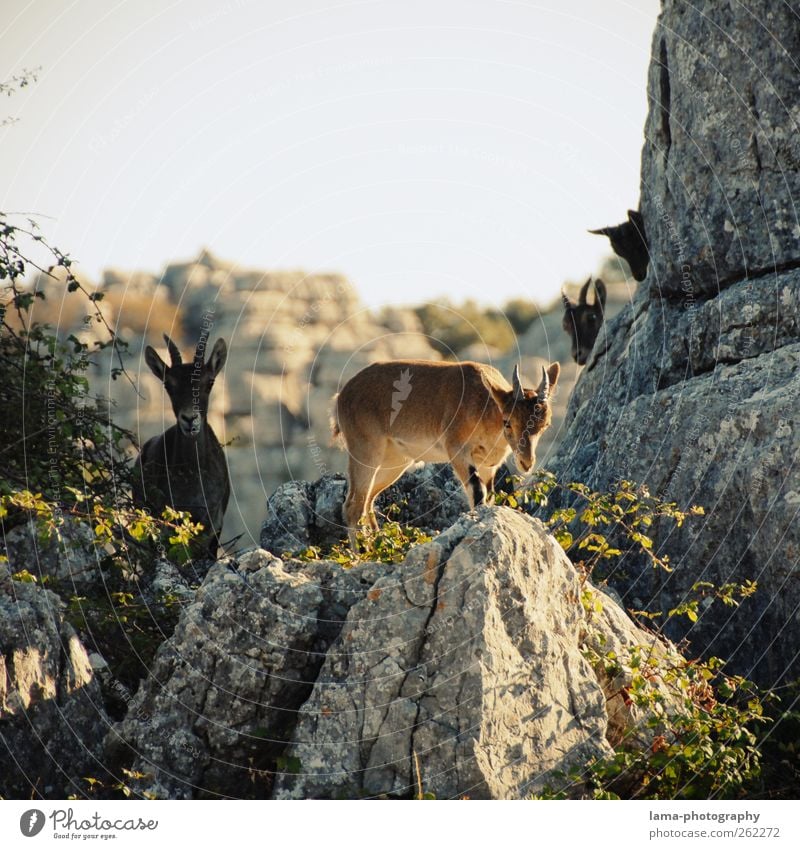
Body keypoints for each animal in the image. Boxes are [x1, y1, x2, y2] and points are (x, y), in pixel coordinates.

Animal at [330, 356, 556, 544]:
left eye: (545, 425)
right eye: (508, 422)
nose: (526, 462)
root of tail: (342, 396)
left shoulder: (488, 466)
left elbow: (489, 496)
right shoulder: (457, 451)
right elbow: (478, 493)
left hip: (394, 462)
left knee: (368, 501)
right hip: (366, 451)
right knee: (353, 507)